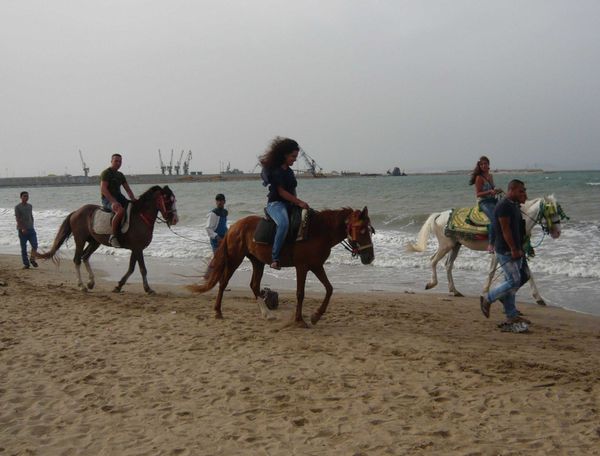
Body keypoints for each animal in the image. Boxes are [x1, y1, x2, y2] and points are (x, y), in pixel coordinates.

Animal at [37, 187, 177, 294]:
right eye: (167, 200)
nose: (175, 219)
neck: (141, 217)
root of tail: (76, 212)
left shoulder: (136, 249)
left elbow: (131, 268)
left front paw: (119, 286)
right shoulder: (138, 248)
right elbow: (142, 269)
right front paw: (148, 289)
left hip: (95, 242)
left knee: (85, 257)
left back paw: (91, 282)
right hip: (80, 240)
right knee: (77, 259)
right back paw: (82, 285)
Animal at [189, 207, 376, 328]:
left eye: (370, 230)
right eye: (361, 230)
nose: (370, 257)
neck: (319, 231)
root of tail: (234, 226)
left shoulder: (316, 266)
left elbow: (329, 289)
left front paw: (316, 316)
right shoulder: (302, 267)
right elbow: (300, 293)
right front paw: (299, 320)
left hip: (257, 262)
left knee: (254, 285)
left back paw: (267, 314)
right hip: (235, 259)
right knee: (223, 283)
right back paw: (218, 311)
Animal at [408, 195, 568, 304]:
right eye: (550, 212)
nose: (558, 232)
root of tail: (440, 215)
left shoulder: (517, 252)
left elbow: (528, 274)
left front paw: (538, 298)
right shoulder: (498, 252)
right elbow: (492, 272)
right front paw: (485, 291)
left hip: (455, 245)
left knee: (448, 265)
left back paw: (454, 290)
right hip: (445, 245)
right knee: (433, 260)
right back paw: (431, 283)